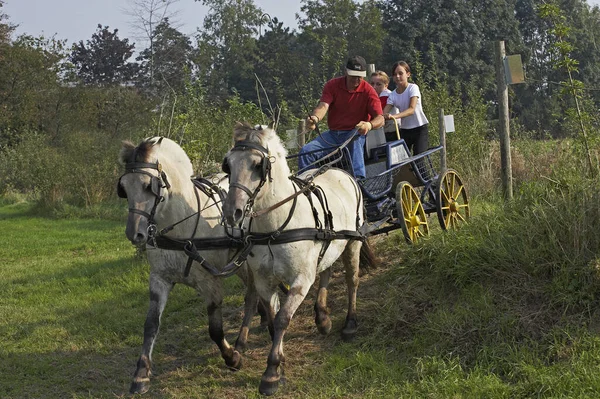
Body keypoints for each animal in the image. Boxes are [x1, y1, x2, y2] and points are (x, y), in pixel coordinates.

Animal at [118, 137, 264, 394]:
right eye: (124, 188)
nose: (134, 234)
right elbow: (150, 325)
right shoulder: (159, 279)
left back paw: (242, 342)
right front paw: (141, 374)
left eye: (148, 186)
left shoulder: (210, 282)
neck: (181, 225)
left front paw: (232, 357)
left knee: (252, 297)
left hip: (247, 262)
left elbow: (215, 330)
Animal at [223, 123, 378, 398]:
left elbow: (283, 318)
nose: (233, 212)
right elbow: (273, 318)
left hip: (353, 243)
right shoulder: (264, 281)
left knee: (352, 280)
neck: (275, 227)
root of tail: (341, 171)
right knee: (326, 271)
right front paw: (280, 362)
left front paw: (272, 373)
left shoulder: (300, 280)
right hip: (329, 244)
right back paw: (323, 318)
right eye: (228, 165)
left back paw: (350, 323)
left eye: (257, 164)